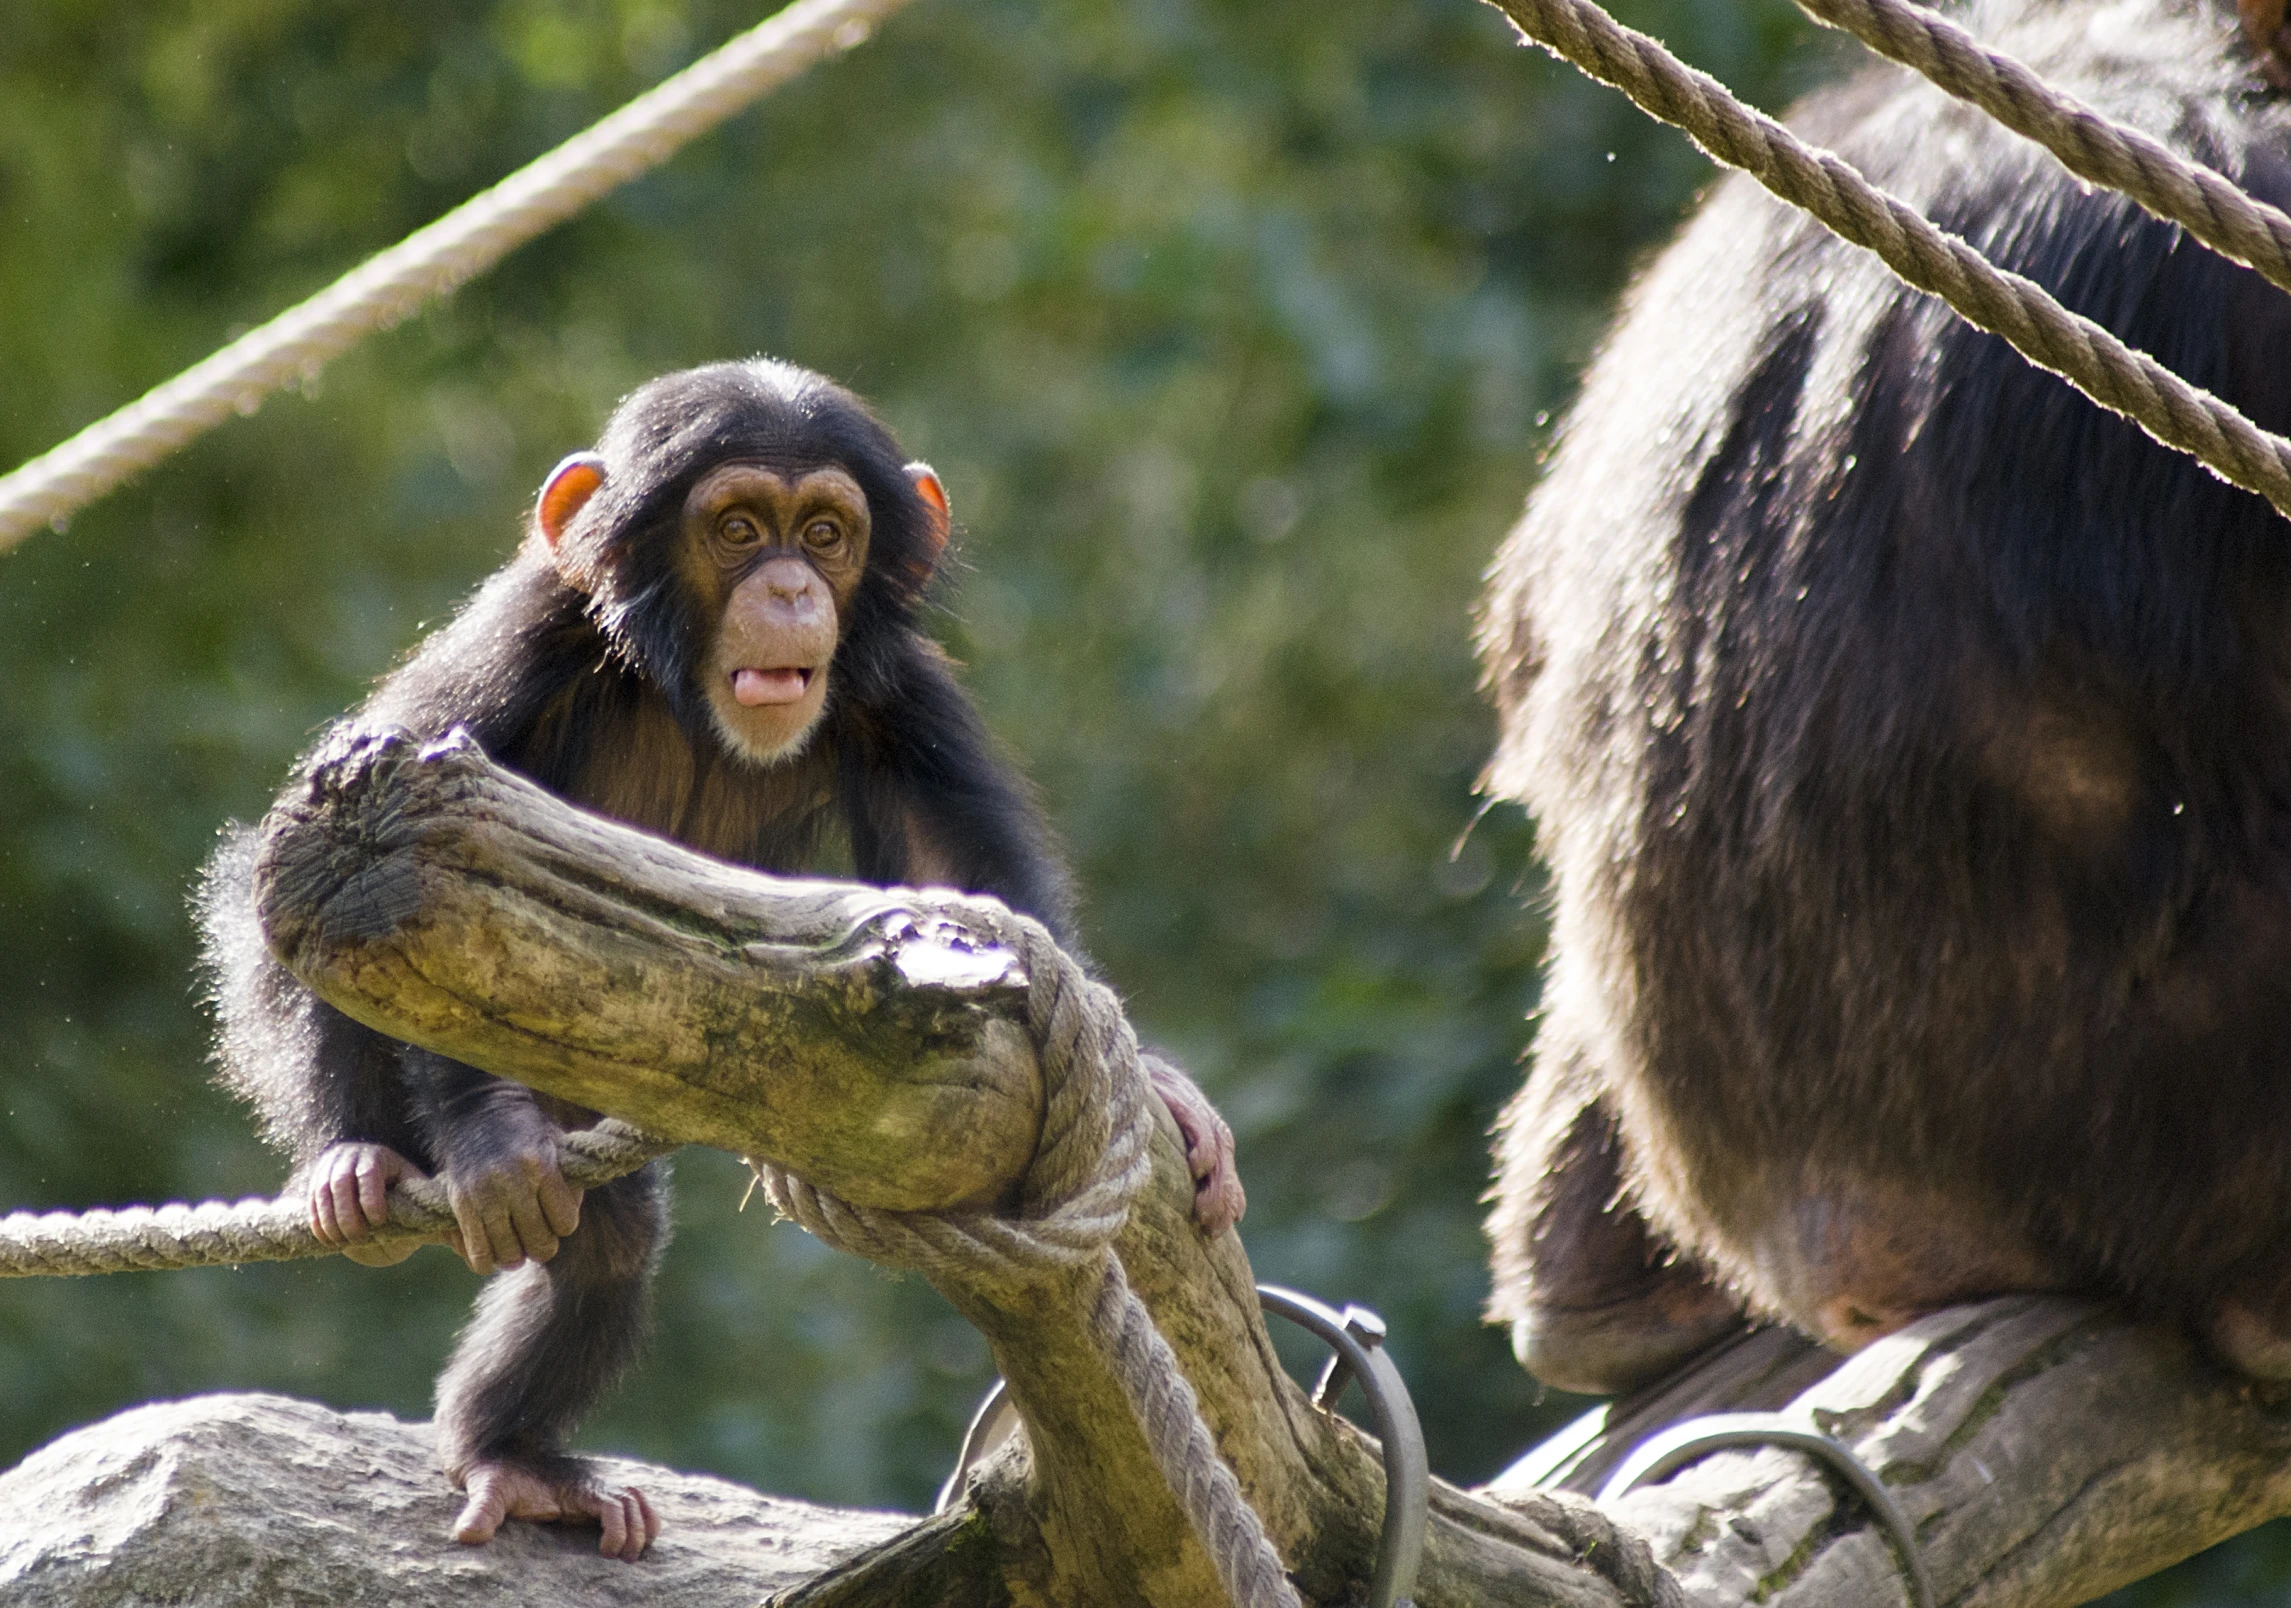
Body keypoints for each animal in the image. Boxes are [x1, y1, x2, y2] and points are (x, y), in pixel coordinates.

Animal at [199, 359, 1246, 1557]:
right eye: (738, 528)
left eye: (826, 533)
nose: (789, 588)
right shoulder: (512, 652)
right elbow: (421, 882)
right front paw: (488, 1134)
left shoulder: (903, 694)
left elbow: (972, 889)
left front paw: (1161, 1085)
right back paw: (358, 1164)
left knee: (606, 1248)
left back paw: (512, 1455)